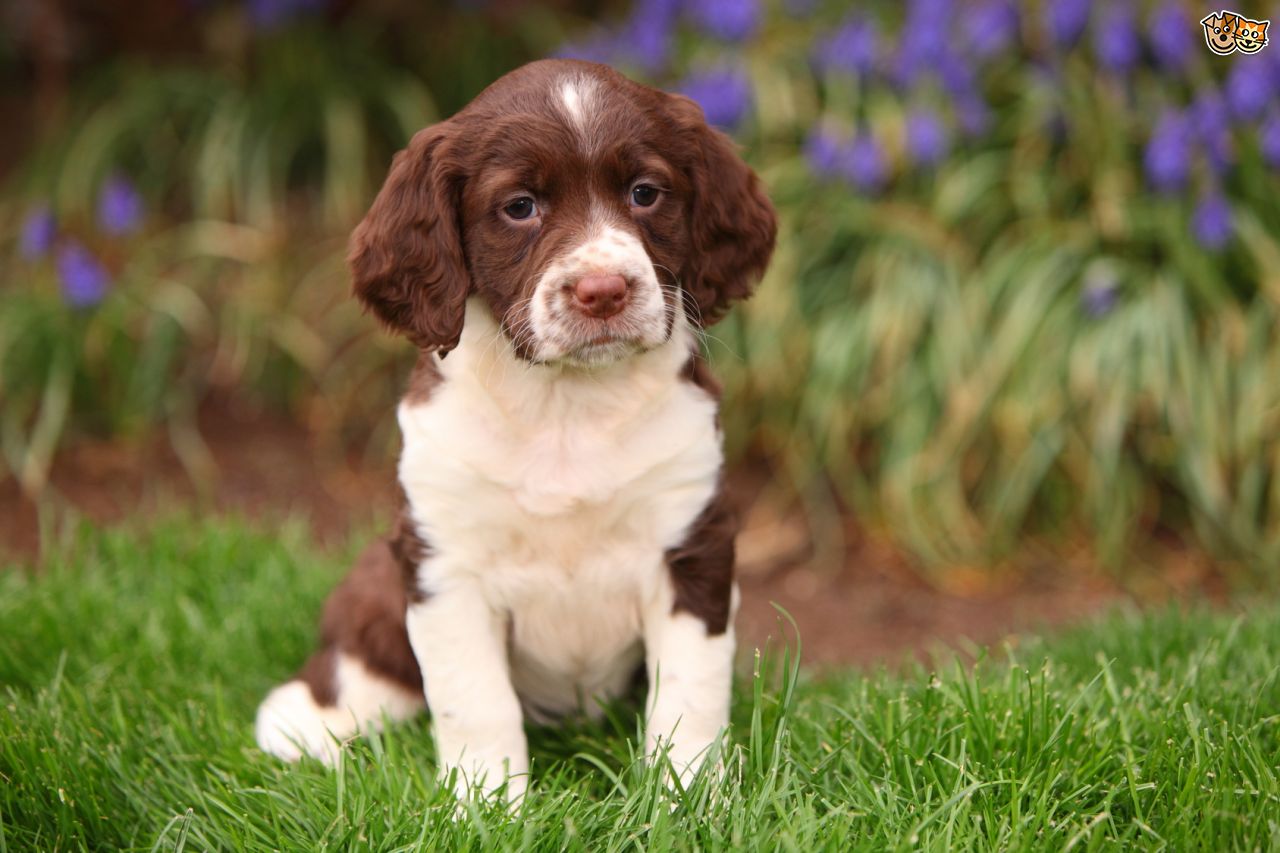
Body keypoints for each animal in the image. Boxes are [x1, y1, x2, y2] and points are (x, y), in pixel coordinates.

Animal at [248, 58, 768, 799]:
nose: (604, 291)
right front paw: (484, 803)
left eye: (645, 193)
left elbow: (690, 692)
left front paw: (690, 794)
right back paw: (308, 721)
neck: (566, 407)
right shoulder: (445, 559)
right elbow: (475, 699)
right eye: (519, 207)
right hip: (385, 569)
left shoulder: (694, 545)